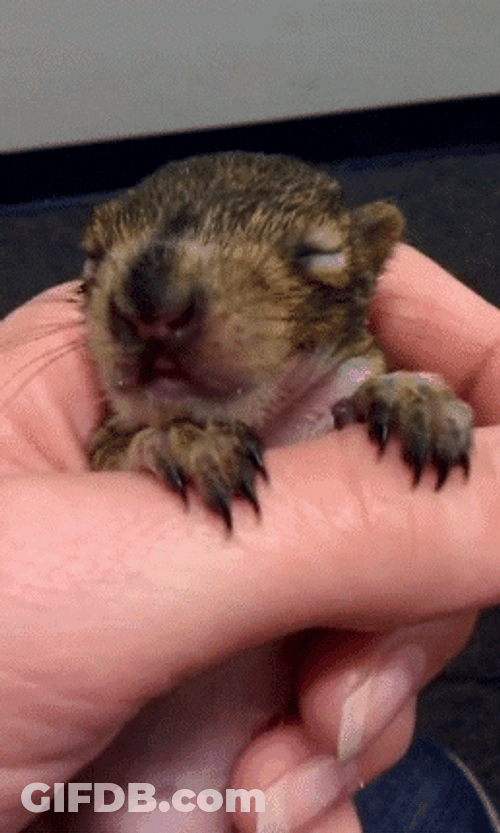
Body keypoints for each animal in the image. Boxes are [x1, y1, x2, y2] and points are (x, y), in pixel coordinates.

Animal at [80, 151, 473, 531]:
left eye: (318, 253)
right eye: (92, 256)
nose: (153, 303)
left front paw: (411, 396)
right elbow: (110, 452)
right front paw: (189, 442)